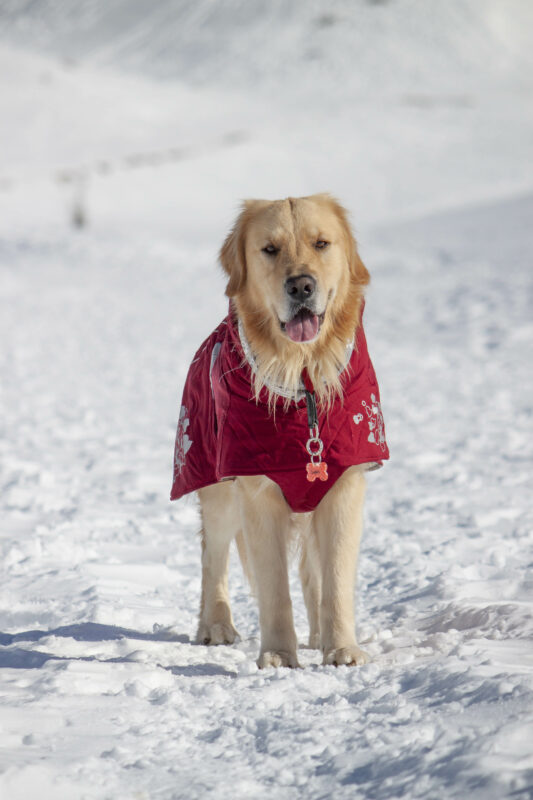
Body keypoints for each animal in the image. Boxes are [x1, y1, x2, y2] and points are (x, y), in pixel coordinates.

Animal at [170, 195, 386, 668]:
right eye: (269, 249)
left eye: (321, 243)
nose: (301, 286)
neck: (301, 377)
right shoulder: (257, 490)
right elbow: (273, 588)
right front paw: (278, 656)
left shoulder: (344, 486)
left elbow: (334, 578)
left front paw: (341, 648)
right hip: (215, 484)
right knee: (213, 555)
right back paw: (216, 625)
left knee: (310, 572)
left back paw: (319, 635)